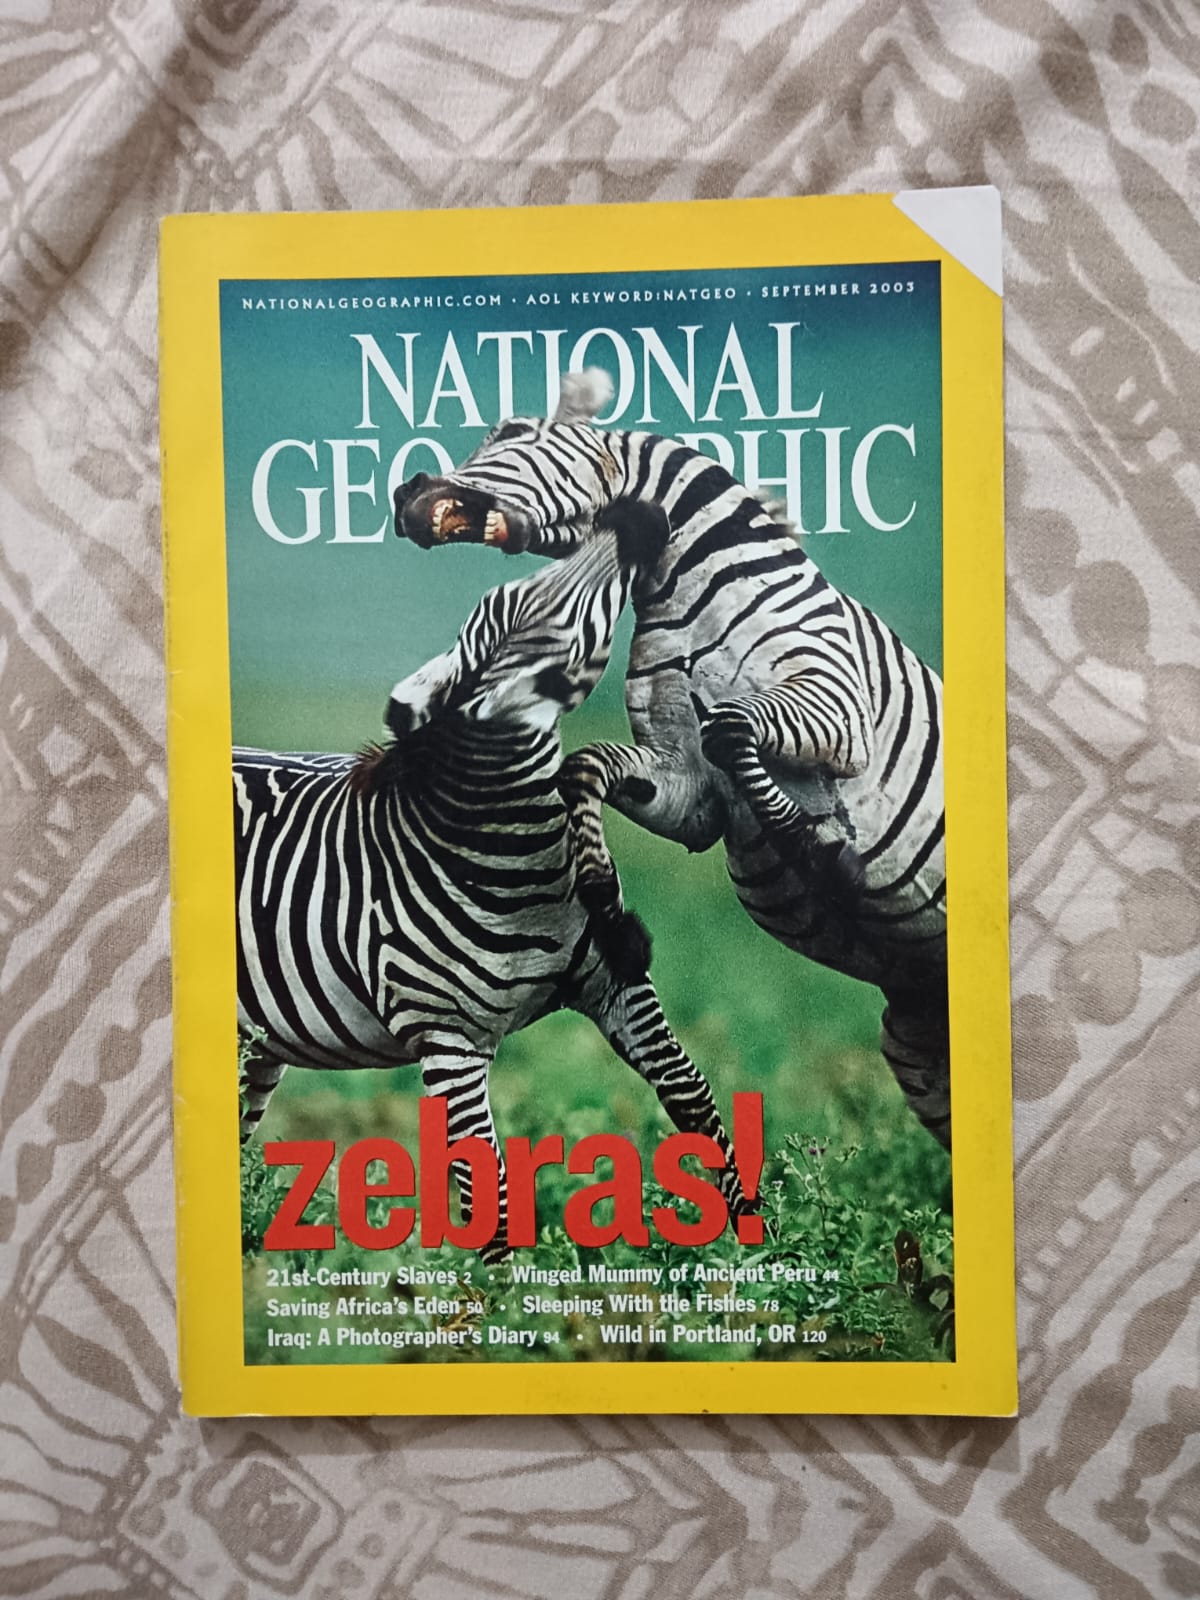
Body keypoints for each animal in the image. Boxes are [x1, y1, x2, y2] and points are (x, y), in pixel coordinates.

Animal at [234, 499, 745, 1256]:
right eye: (560, 629)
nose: (634, 512)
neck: (518, 863)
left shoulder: (616, 984)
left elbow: (691, 1094)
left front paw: (757, 1236)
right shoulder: (448, 1041)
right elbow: (488, 1190)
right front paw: (500, 1289)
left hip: (257, 1045)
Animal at [394, 371, 950, 1148]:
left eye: (511, 433)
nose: (406, 493)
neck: (692, 592)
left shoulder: (837, 706)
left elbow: (732, 728)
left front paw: (813, 848)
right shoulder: (689, 790)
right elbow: (586, 768)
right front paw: (603, 898)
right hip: (918, 1044)